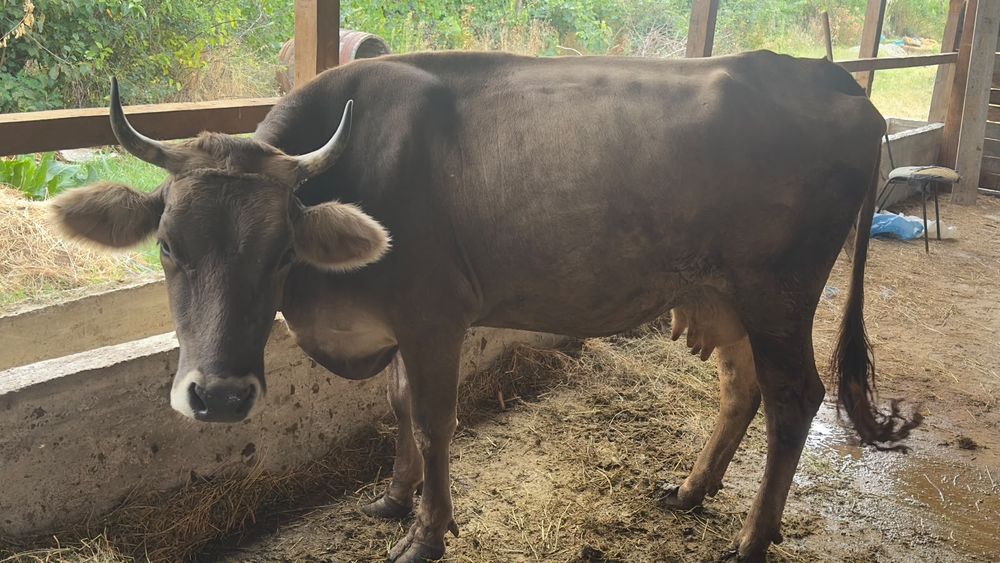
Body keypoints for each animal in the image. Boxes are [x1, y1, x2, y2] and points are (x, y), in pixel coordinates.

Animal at [50, 50, 918, 562]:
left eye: (281, 253)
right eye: (168, 245)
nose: (222, 397)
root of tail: (829, 77)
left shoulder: (435, 312)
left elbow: (435, 418)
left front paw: (427, 532)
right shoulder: (400, 322)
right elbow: (399, 403)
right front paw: (392, 497)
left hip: (777, 293)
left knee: (794, 398)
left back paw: (750, 537)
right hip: (723, 295)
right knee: (742, 388)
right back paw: (691, 488)